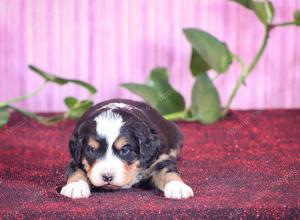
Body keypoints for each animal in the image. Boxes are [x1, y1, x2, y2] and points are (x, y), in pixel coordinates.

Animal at [60, 99, 195, 199]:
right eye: (92, 150)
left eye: (125, 151)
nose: (107, 177)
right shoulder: (76, 159)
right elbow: (76, 171)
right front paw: (75, 187)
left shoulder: (160, 158)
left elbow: (169, 171)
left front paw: (178, 187)